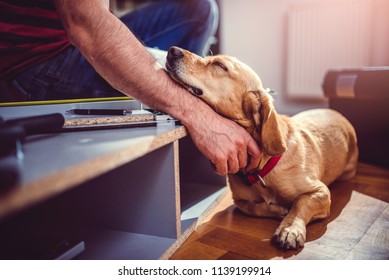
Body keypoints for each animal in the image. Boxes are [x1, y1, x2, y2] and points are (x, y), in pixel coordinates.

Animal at [164, 46, 358, 249]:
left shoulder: (320, 192)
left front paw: (290, 229)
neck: (260, 167)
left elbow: (300, 203)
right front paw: (278, 210)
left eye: (220, 65)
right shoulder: (240, 200)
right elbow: (252, 207)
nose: (172, 50)